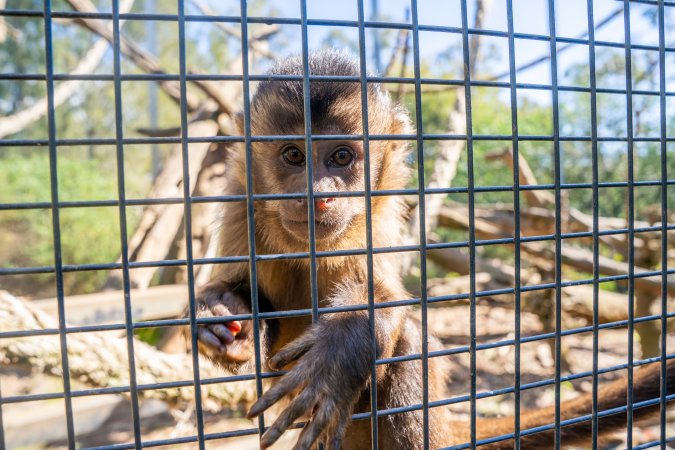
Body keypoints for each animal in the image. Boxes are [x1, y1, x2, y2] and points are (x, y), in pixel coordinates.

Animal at [187, 49, 675, 449]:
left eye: (341, 158)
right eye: (293, 156)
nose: (317, 196)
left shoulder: (379, 219)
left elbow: (386, 303)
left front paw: (340, 349)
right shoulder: (239, 206)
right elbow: (245, 301)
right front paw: (226, 316)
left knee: (407, 344)